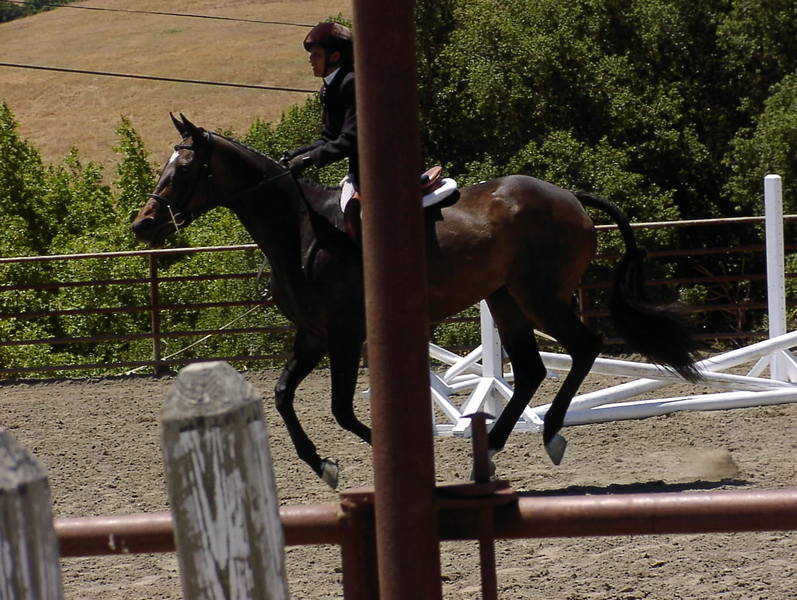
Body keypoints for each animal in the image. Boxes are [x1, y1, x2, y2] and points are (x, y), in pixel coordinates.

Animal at [132, 113, 702, 488]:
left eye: (184, 170)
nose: (144, 224)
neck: (299, 228)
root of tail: (569, 197)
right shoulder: (313, 336)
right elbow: (282, 396)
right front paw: (325, 466)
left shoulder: (344, 335)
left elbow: (340, 408)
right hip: (505, 299)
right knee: (531, 370)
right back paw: (491, 452)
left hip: (540, 296)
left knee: (584, 347)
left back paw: (550, 435)